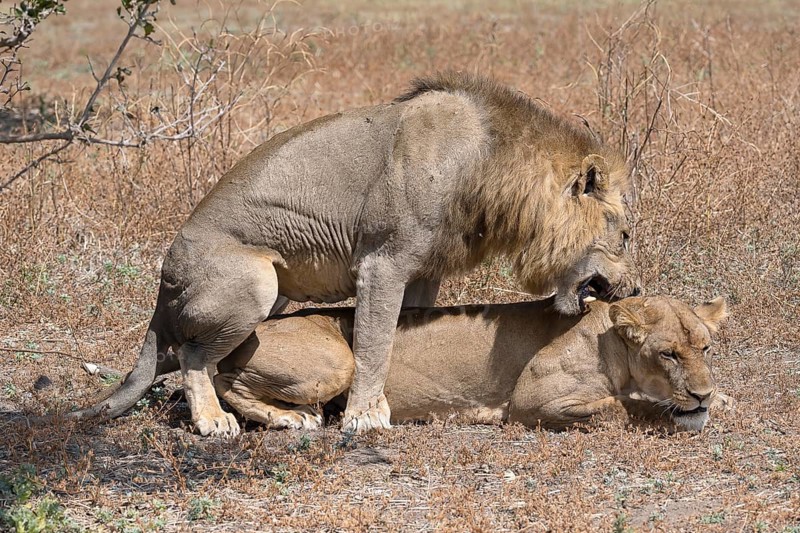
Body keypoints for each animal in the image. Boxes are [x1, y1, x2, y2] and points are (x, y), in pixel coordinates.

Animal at [65, 72, 638, 436]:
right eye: (626, 236)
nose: (633, 288)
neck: (490, 166)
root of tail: (163, 284)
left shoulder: (424, 270)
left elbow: (402, 332)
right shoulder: (383, 262)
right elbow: (373, 341)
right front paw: (365, 415)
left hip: (272, 298)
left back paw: (286, 416)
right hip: (255, 283)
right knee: (192, 355)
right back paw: (213, 421)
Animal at [213, 295, 730, 432]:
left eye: (705, 348)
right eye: (667, 353)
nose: (700, 393)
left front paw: (717, 399)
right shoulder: (531, 402)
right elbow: (618, 408)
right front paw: (677, 412)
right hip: (338, 361)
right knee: (221, 378)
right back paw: (286, 417)